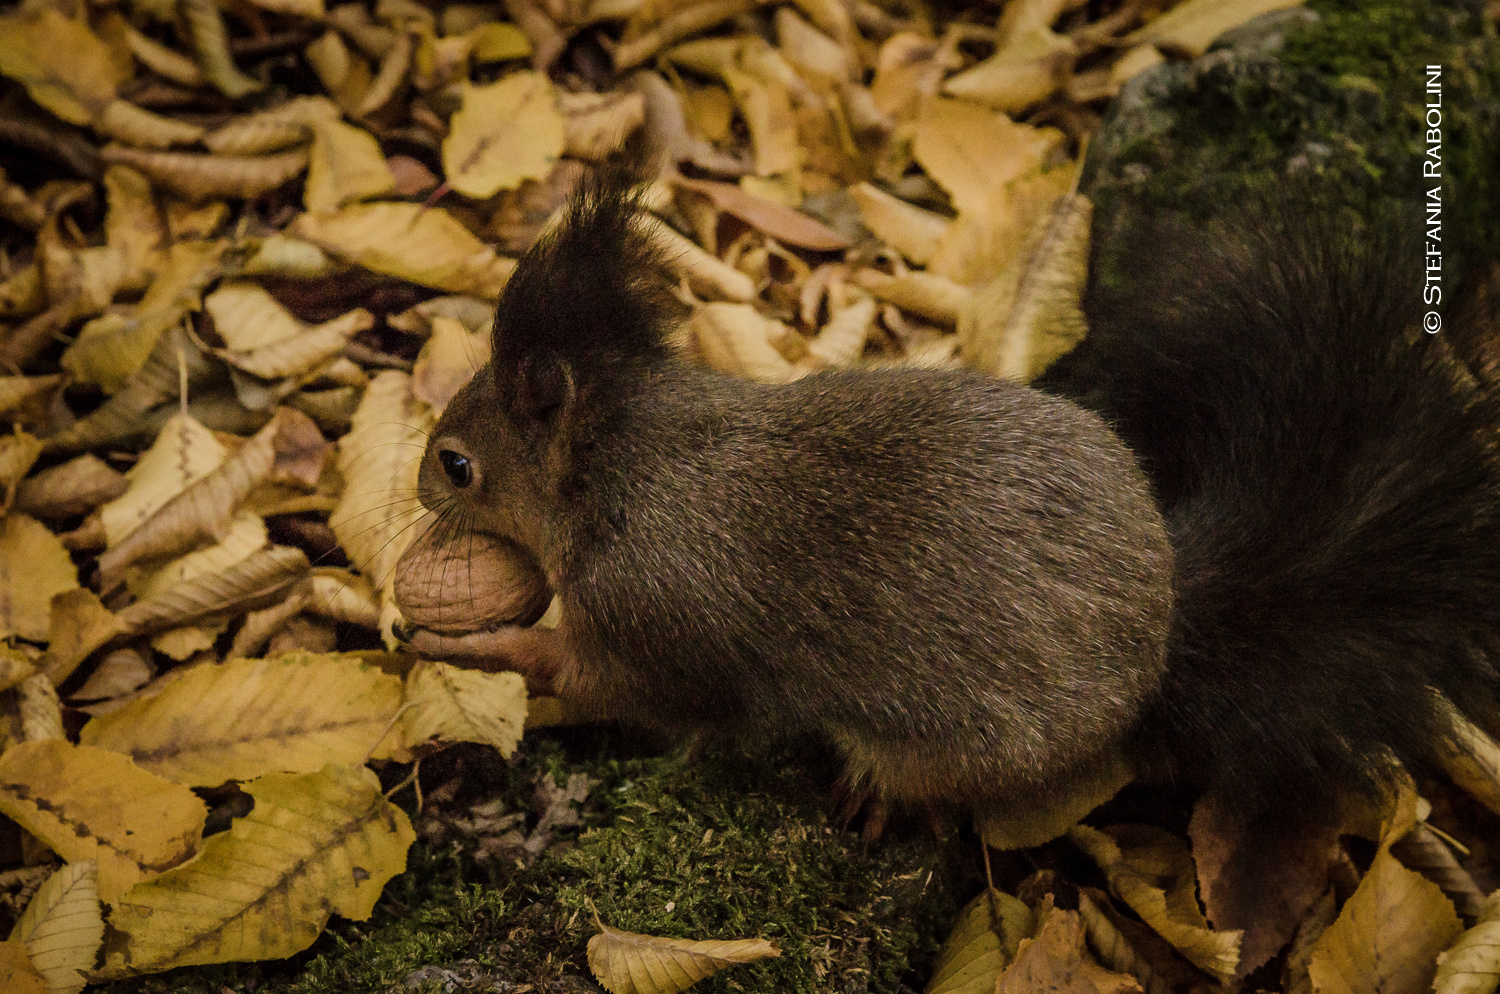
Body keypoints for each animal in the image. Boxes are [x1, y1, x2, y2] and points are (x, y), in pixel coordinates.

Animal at [393, 173, 1500, 857]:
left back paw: (878, 795)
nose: (415, 487)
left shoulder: (653, 614)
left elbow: (619, 684)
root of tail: (1170, 618)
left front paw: (483, 648)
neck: (627, 461)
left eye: (459, 465)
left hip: (958, 745)